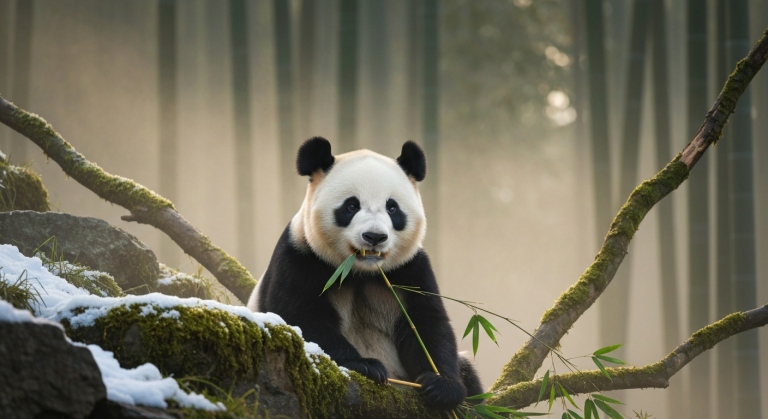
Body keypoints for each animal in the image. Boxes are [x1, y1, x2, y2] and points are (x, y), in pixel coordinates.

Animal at [247, 137, 483, 410]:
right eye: (351, 205)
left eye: (392, 208)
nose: (374, 237)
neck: (360, 271)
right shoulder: (300, 256)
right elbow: (301, 318)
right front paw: (366, 366)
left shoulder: (411, 270)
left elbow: (428, 324)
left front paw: (441, 386)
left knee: (468, 371)